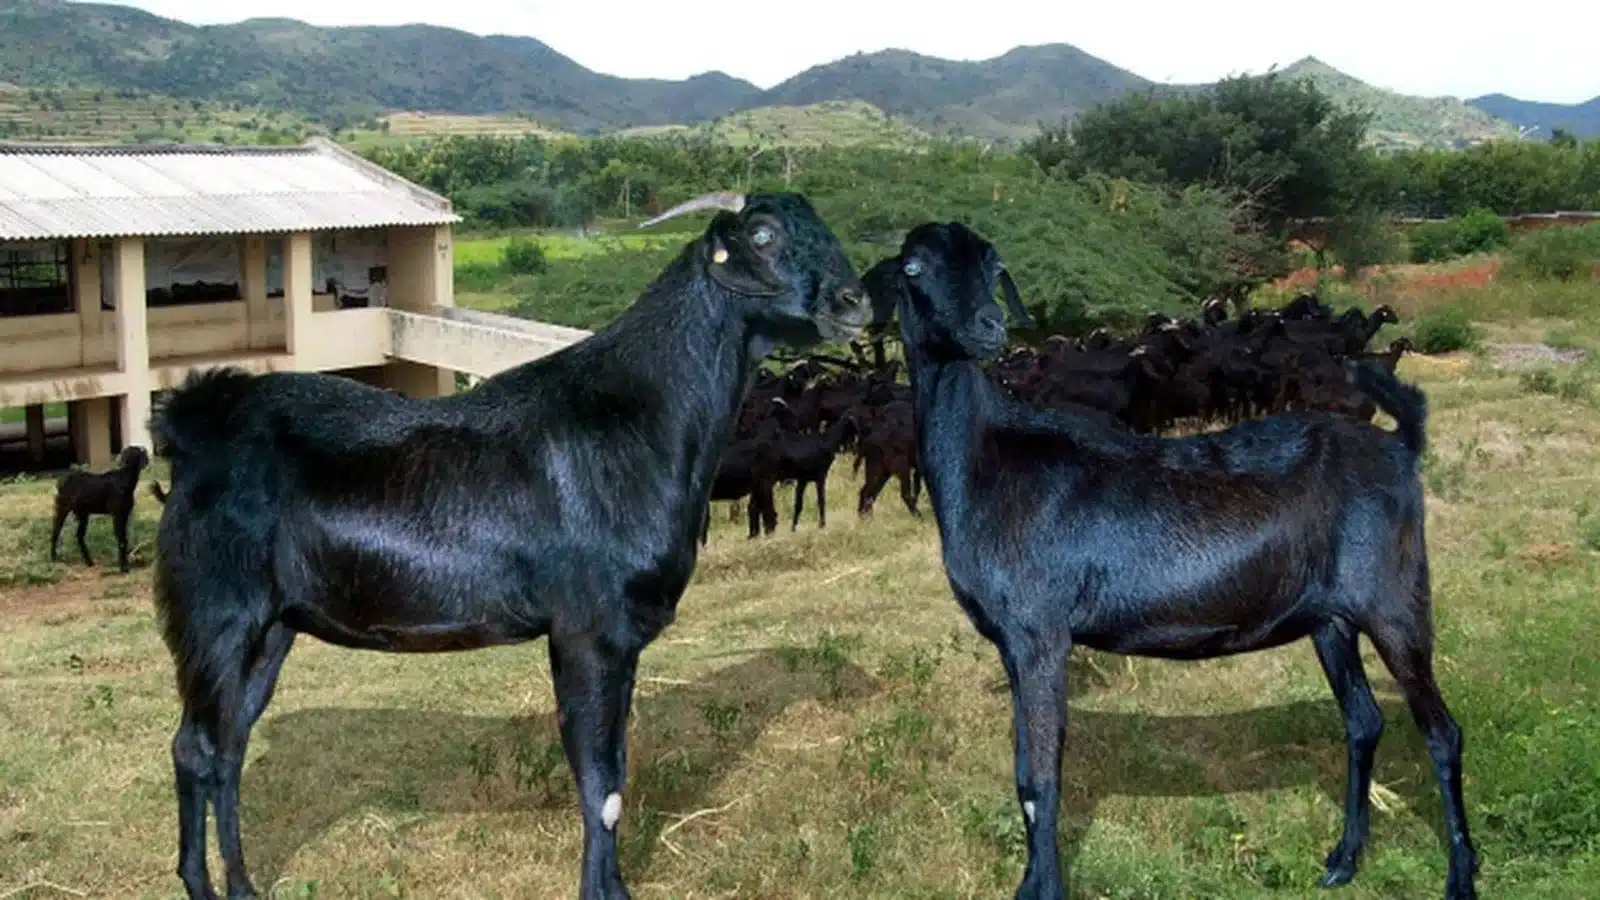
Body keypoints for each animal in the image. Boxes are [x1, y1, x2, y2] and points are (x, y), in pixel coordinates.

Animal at [49, 445, 149, 573]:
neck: (124, 477)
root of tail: (60, 482)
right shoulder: (117, 514)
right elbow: (120, 538)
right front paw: (123, 567)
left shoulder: (125, 513)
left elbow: (125, 538)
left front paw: (125, 564)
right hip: (62, 507)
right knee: (56, 531)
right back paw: (53, 559)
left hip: (82, 514)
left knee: (79, 535)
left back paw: (89, 562)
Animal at [146, 191, 869, 900]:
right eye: (765, 235)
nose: (854, 301)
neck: (638, 420)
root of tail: (195, 424)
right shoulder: (587, 630)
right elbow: (600, 784)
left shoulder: (621, 640)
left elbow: (616, 773)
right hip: (215, 612)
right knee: (196, 748)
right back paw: (201, 884)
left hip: (273, 627)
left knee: (229, 745)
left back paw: (242, 887)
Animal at [891, 221, 1476, 900]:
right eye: (913, 266)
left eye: (994, 266)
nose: (988, 325)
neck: (989, 457)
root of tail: (1401, 446)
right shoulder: (1014, 644)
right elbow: (1024, 781)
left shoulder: (1039, 633)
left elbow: (1042, 781)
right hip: (1331, 619)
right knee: (1363, 720)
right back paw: (1343, 860)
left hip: (1395, 599)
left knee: (1441, 731)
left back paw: (1461, 876)